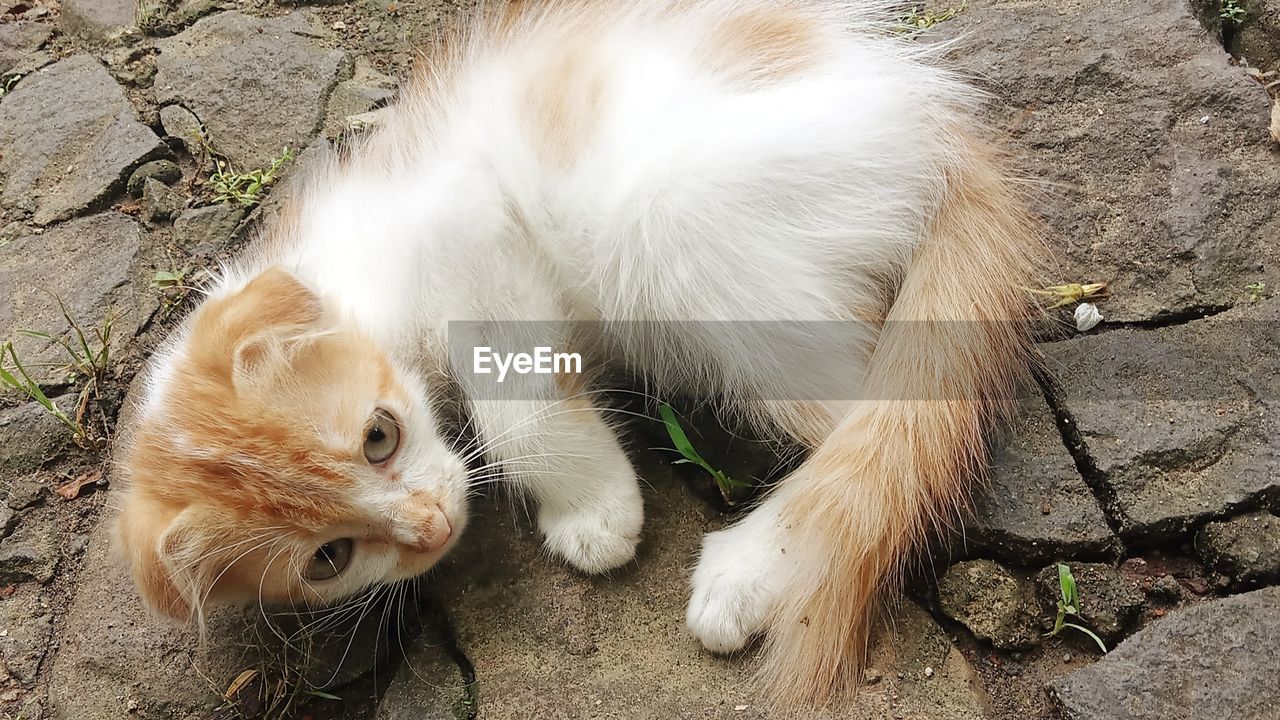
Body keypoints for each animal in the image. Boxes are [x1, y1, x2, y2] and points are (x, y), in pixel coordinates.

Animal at [115, 0, 1044, 707]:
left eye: (379, 436)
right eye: (328, 559)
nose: (433, 527)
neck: (352, 278)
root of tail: (931, 123)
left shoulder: (474, 219)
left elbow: (515, 412)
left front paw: (594, 511)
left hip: (667, 229)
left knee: (879, 429)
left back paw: (748, 574)